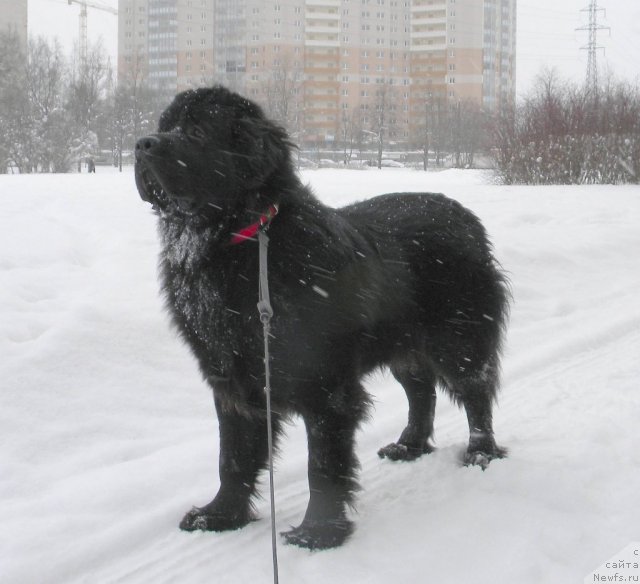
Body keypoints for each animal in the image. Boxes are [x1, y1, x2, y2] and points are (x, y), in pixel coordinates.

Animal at [135, 84, 510, 548]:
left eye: (197, 131)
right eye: (163, 125)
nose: (141, 144)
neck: (239, 242)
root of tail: (467, 217)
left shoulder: (326, 385)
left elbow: (324, 467)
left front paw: (318, 533)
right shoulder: (232, 378)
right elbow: (233, 456)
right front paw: (220, 515)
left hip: (459, 339)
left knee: (475, 392)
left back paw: (480, 452)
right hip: (403, 346)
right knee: (422, 393)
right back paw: (409, 446)